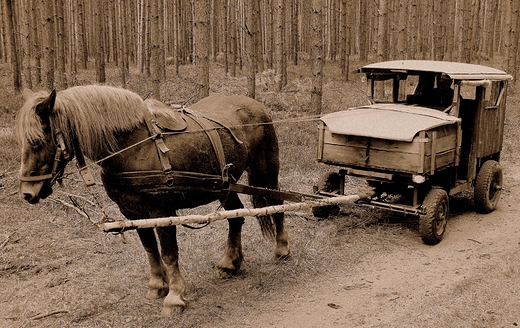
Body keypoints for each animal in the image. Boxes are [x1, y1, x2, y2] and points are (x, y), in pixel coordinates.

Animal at [16, 84, 290, 316]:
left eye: (37, 141)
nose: (27, 193)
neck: (133, 146)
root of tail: (258, 105)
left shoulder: (162, 211)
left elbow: (169, 252)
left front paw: (175, 296)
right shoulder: (132, 212)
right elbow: (149, 249)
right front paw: (158, 285)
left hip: (265, 171)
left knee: (278, 206)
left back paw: (282, 249)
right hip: (225, 182)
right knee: (236, 216)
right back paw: (230, 263)